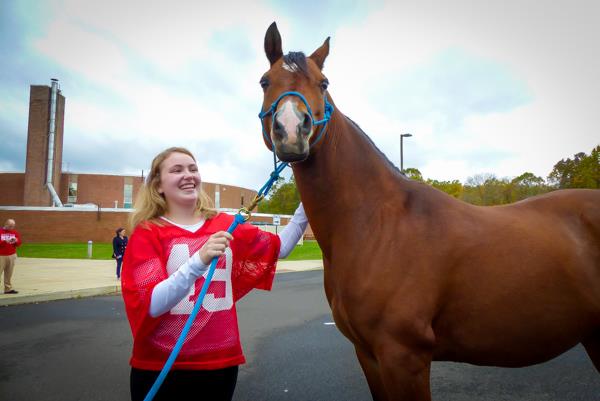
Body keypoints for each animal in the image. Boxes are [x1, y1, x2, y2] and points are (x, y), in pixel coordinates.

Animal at [258, 22, 600, 400]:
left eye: (324, 83)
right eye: (265, 81)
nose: (292, 130)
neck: (376, 225)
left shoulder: (404, 357)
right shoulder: (368, 355)